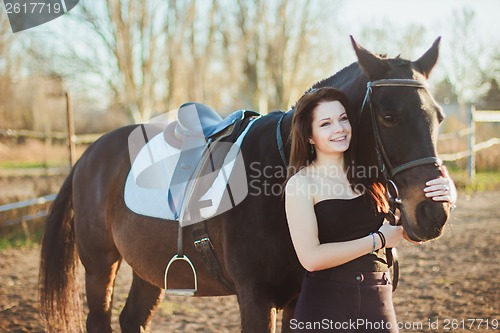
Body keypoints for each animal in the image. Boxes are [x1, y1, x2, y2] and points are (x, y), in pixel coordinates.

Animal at [41, 37, 452, 330]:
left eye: (439, 117)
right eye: (388, 116)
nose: (434, 212)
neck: (282, 175)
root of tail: (90, 154)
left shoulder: (295, 298)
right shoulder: (255, 299)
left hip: (151, 269)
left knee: (132, 319)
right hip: (99, 267)